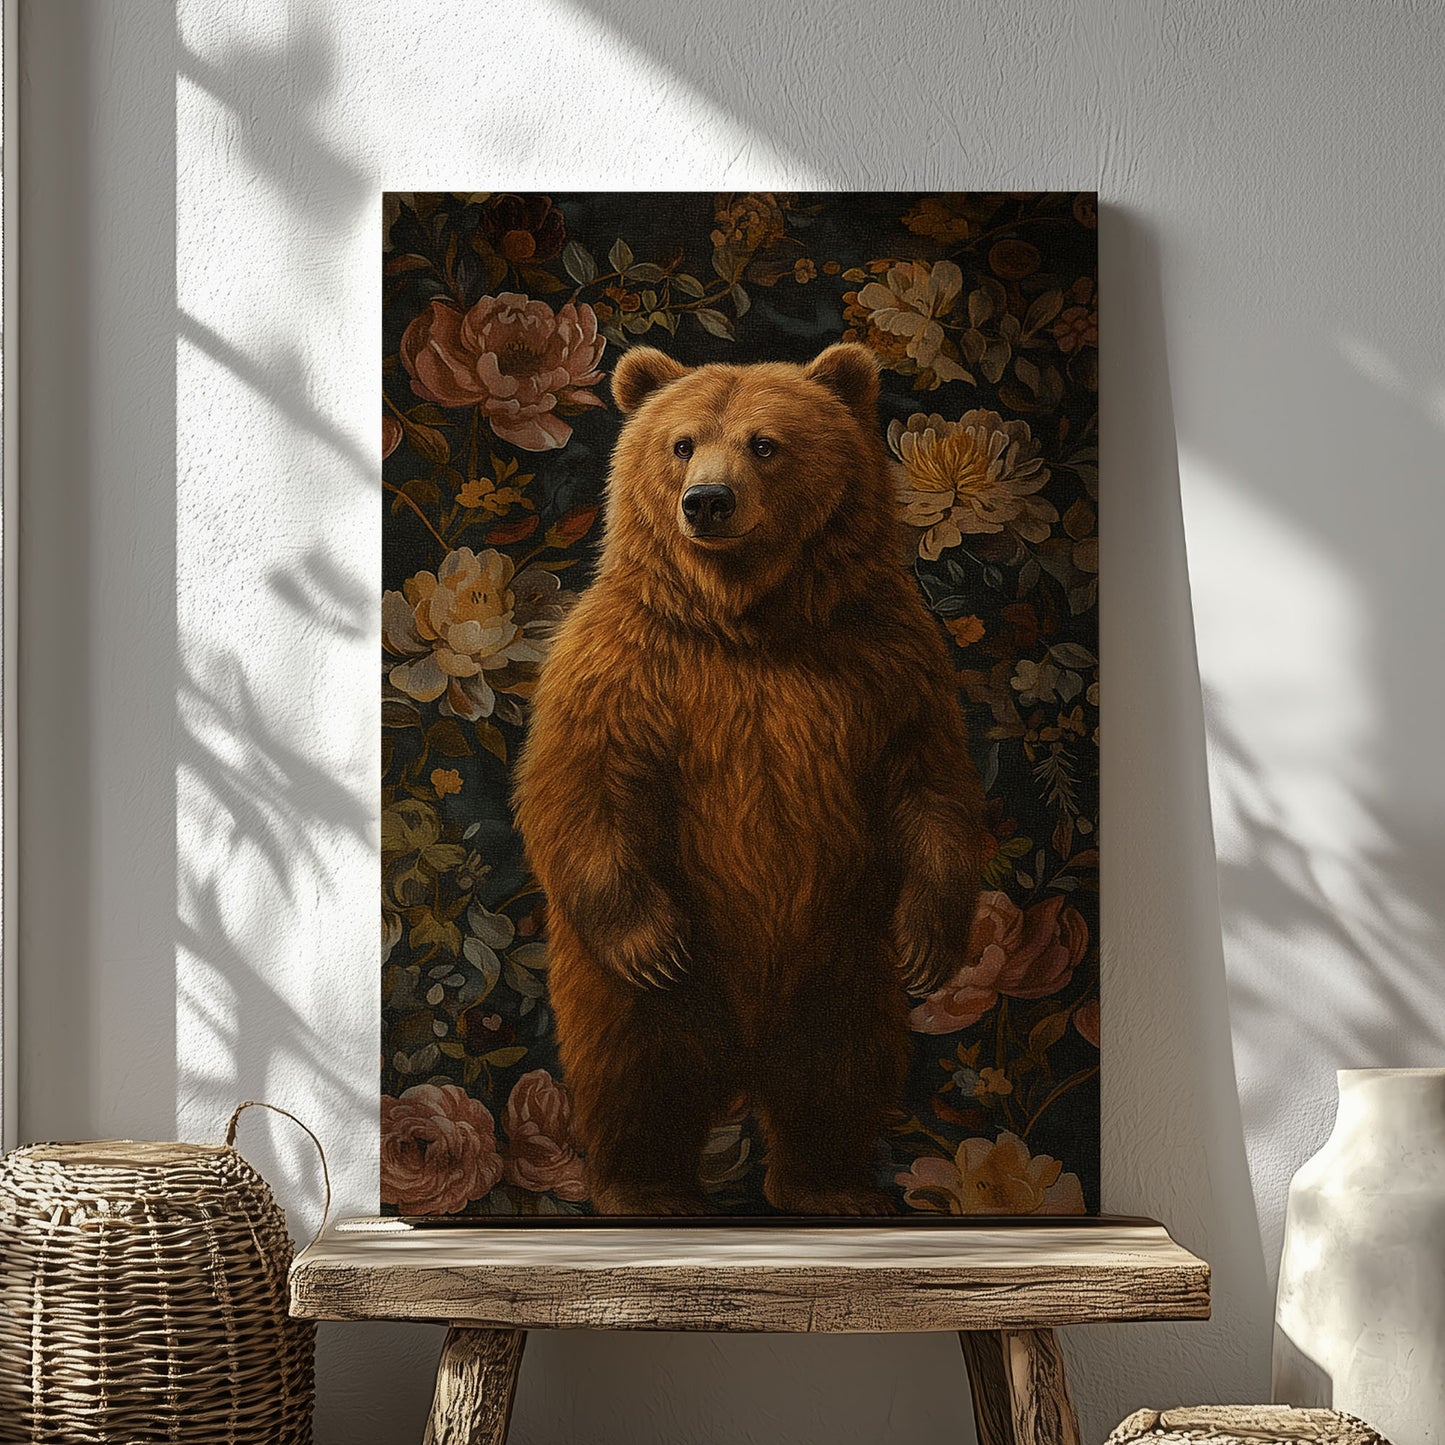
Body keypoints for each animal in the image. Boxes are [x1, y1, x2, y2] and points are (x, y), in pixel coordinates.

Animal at [513, 341, 984, 1216]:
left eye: (764, 443)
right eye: (681, 443)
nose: (706, 501)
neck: (747, 622)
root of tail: (743, 1051)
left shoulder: (886, 657)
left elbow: (929, 782)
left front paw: (929, 942)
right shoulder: (622, 663)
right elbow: (581, 784)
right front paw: (648, 941)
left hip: (841, 951)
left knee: (836, 1065)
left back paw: (828, 1184)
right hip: (647, 981)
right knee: (639, 1063)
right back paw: (648, 1188)